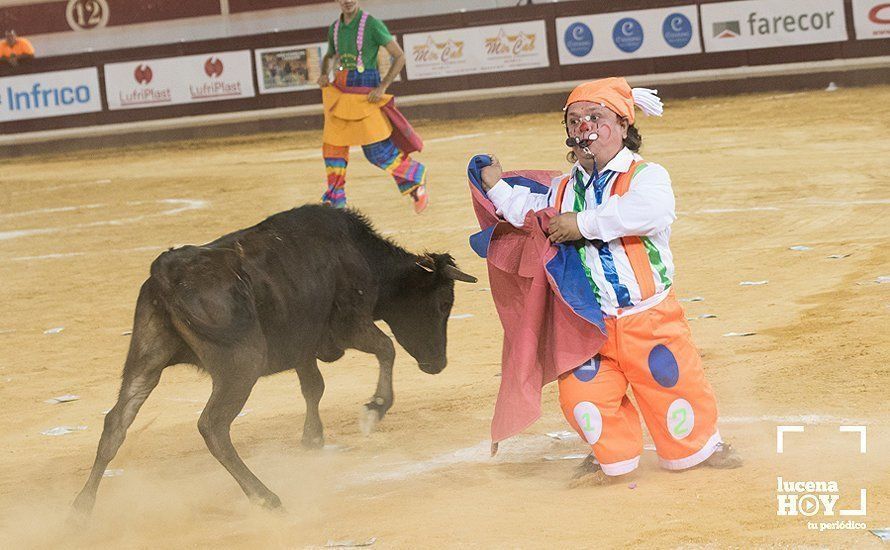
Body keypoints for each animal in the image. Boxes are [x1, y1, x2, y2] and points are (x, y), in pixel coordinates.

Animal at [72, 207, 476, 516]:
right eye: (443, 303)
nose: (437, 363)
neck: (360, 256)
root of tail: (168, 271)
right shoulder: (350, 326)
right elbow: (386, 348)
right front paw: (374, 408)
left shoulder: (303, 348)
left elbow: (314, 387)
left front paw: (312, 438)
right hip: (242, 364)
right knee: (212, 426)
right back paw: (265, 496)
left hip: (147, 357)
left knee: (116, 422)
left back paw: (82, 508)